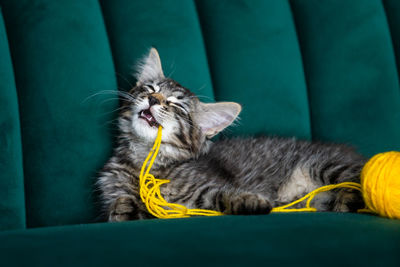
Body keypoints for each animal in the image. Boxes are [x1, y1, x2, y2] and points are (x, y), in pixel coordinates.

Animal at [97, 48, 366, 222]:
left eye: (177, 106)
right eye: (150, 88)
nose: (153, 99)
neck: (145, 160)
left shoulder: (203, 190)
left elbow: (223, 194)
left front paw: (254, 202)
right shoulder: (113, 188)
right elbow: (120, 209)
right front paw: (125, 207)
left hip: (324, 164)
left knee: (358, 180)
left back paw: (346, 201)